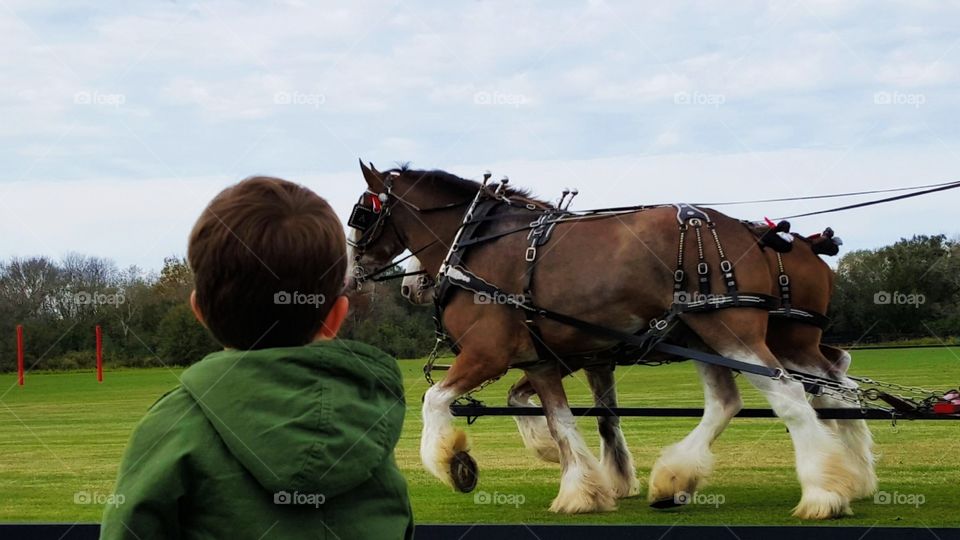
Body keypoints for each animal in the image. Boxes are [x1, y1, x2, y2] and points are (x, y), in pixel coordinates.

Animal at [348, 161, 862, 519]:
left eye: (361, 215)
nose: (353, 275)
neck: (476, 245)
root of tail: (756, 233)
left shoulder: (487, 354)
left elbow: (434, 400)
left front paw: (455, 463)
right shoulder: (543, 361)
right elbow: (565, 421)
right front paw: (580, 487)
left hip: (734, 330)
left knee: (794, 395)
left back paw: (824, 493)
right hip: (715, 335)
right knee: (765, 397)